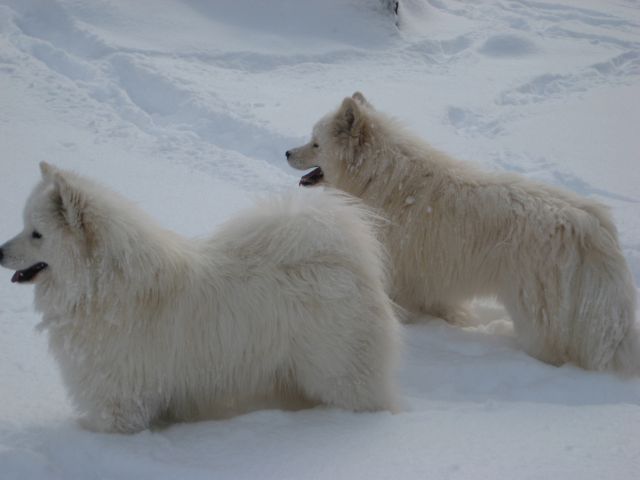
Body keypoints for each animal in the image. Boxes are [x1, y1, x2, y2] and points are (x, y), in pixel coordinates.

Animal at [0, 163, 400, 434]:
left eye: (36, 234)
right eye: (25, 226)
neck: (101, 285)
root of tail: (347, 262)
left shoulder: (121, 401)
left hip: (339, 378)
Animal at [288, 92, 636, 374]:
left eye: (315, 143)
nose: (287, 153)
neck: (381, 179)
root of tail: (592, 227)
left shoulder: (402, 272)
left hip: (535, 311)